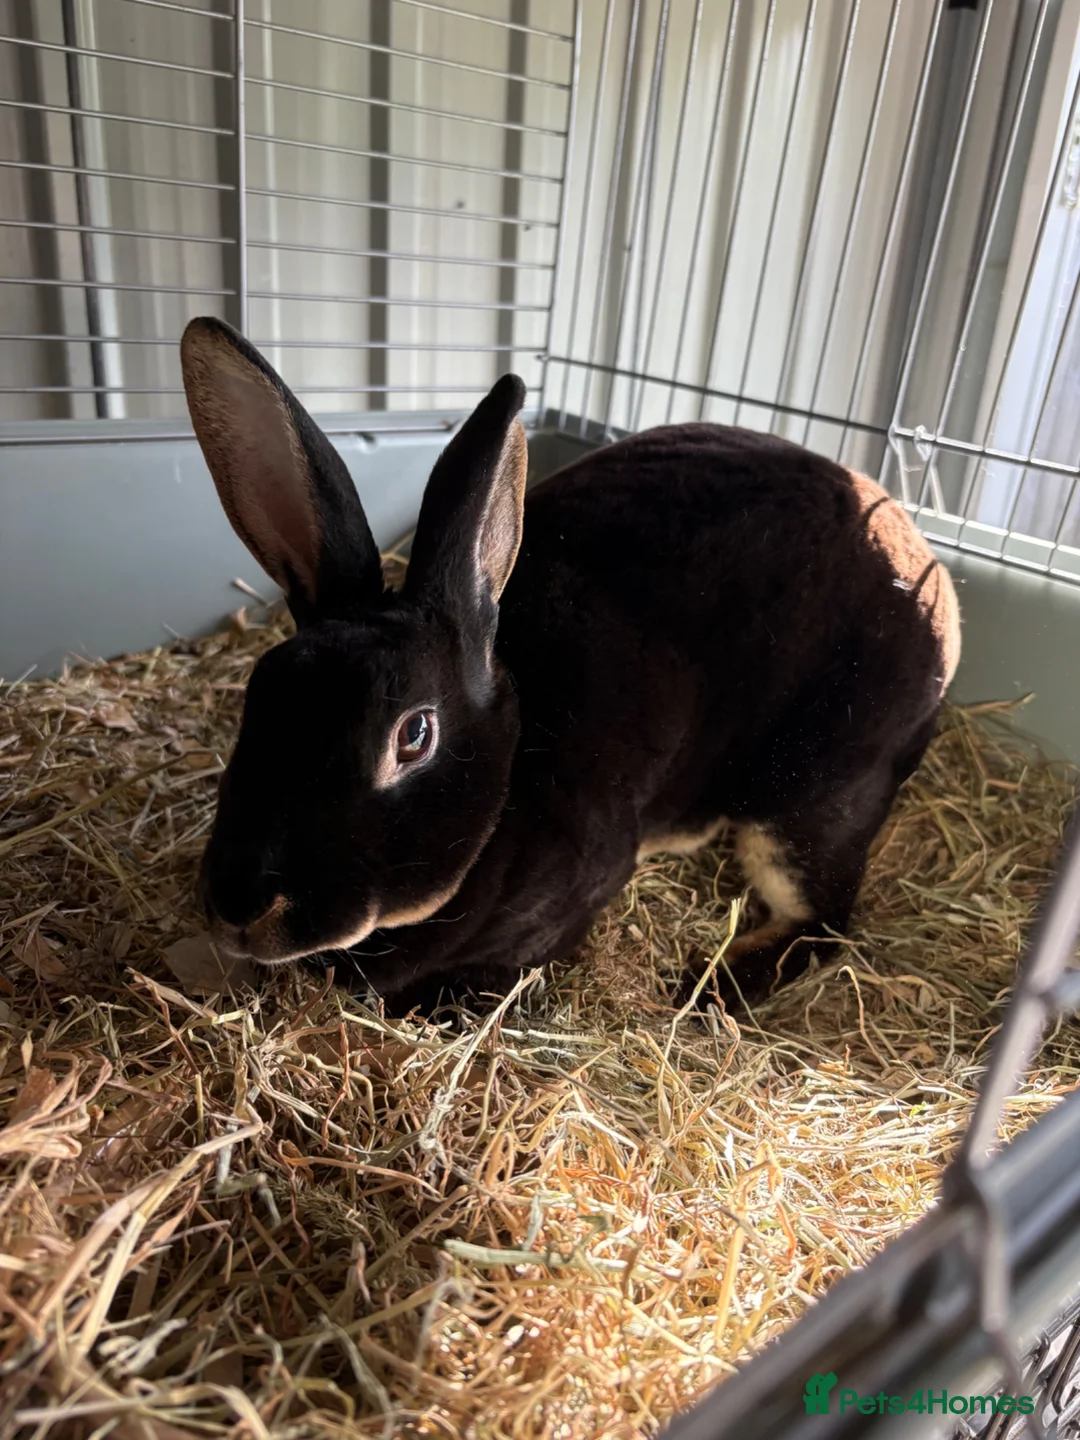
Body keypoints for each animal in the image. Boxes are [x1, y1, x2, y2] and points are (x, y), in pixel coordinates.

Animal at [180, 316, 960, 1016]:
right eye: (258, 696)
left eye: (413, 736)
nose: (243, 906)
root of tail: (935, 585)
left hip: (810, 794)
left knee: (822, 919)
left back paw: (709, 988)